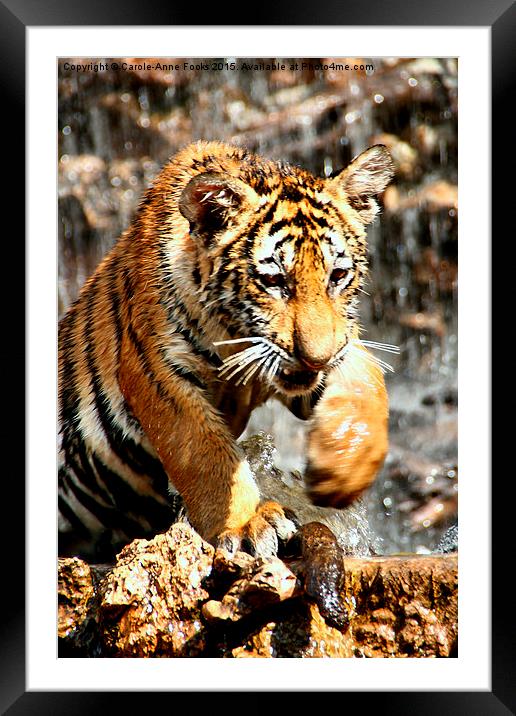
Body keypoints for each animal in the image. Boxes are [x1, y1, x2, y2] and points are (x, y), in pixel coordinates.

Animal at [57, 143, 396, 564]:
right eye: (274, 281)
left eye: (337, 276)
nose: (316, 359)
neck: (235, 336)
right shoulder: (157, 372)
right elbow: (207, 454)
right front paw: (248, 523)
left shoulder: (330, 348)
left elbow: (366, 379)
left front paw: (342, 470)